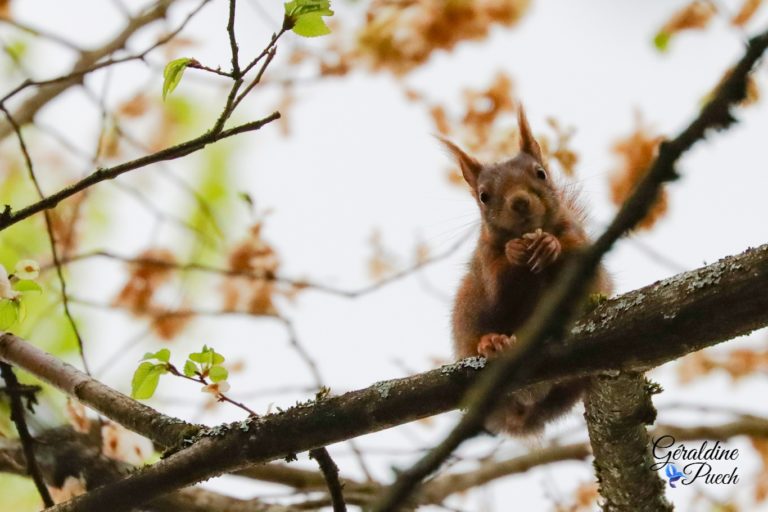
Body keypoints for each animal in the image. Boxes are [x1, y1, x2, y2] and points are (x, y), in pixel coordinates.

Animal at [444, 106, 612, 434]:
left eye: (541, 173)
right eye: (483, 196)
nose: (520, 202)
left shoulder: (577, 238)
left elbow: (573, 256)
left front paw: (549, 244)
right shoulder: (485, 259)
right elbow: (498, 281)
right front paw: (514, 252)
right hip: (467, 311)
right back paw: (492, 342)